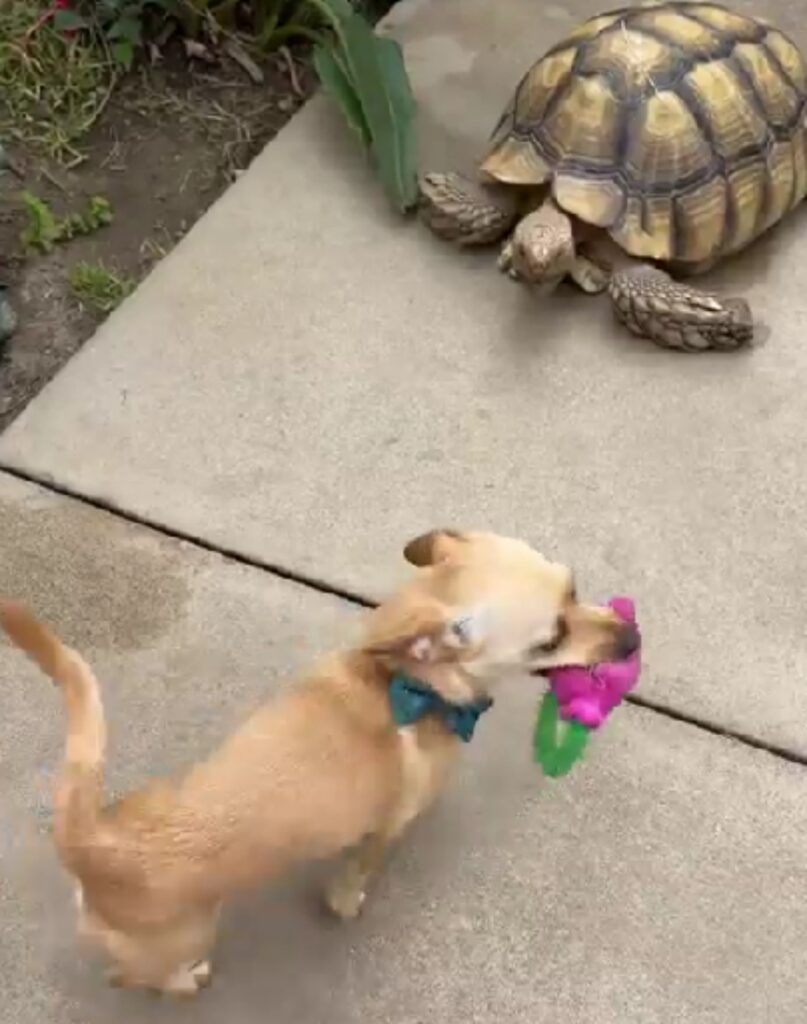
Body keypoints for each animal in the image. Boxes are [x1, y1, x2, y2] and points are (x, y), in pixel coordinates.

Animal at [3, 532, 639, 995]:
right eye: (549, 639)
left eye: (575, 587)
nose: (632, 636)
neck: (403, 680)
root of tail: (90, 842)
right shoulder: (384, 831)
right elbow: (357, 874)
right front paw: (348, 902)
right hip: (186, 936)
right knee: (132, 975)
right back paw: (185, 981)